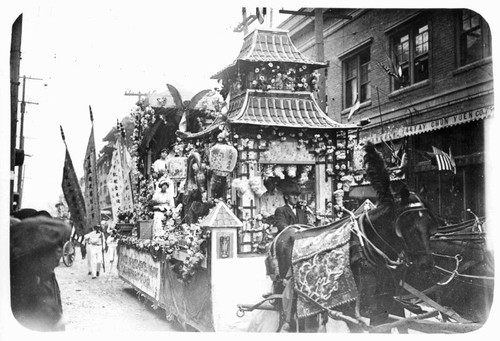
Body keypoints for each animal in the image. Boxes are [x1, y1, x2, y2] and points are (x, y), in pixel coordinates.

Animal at [270, 141, 438, 332]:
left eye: (429, 224)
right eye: (408, 224)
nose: (426, 264)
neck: (370, 250)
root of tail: (288, 230)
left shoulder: (387, 307)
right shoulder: (357, 311)